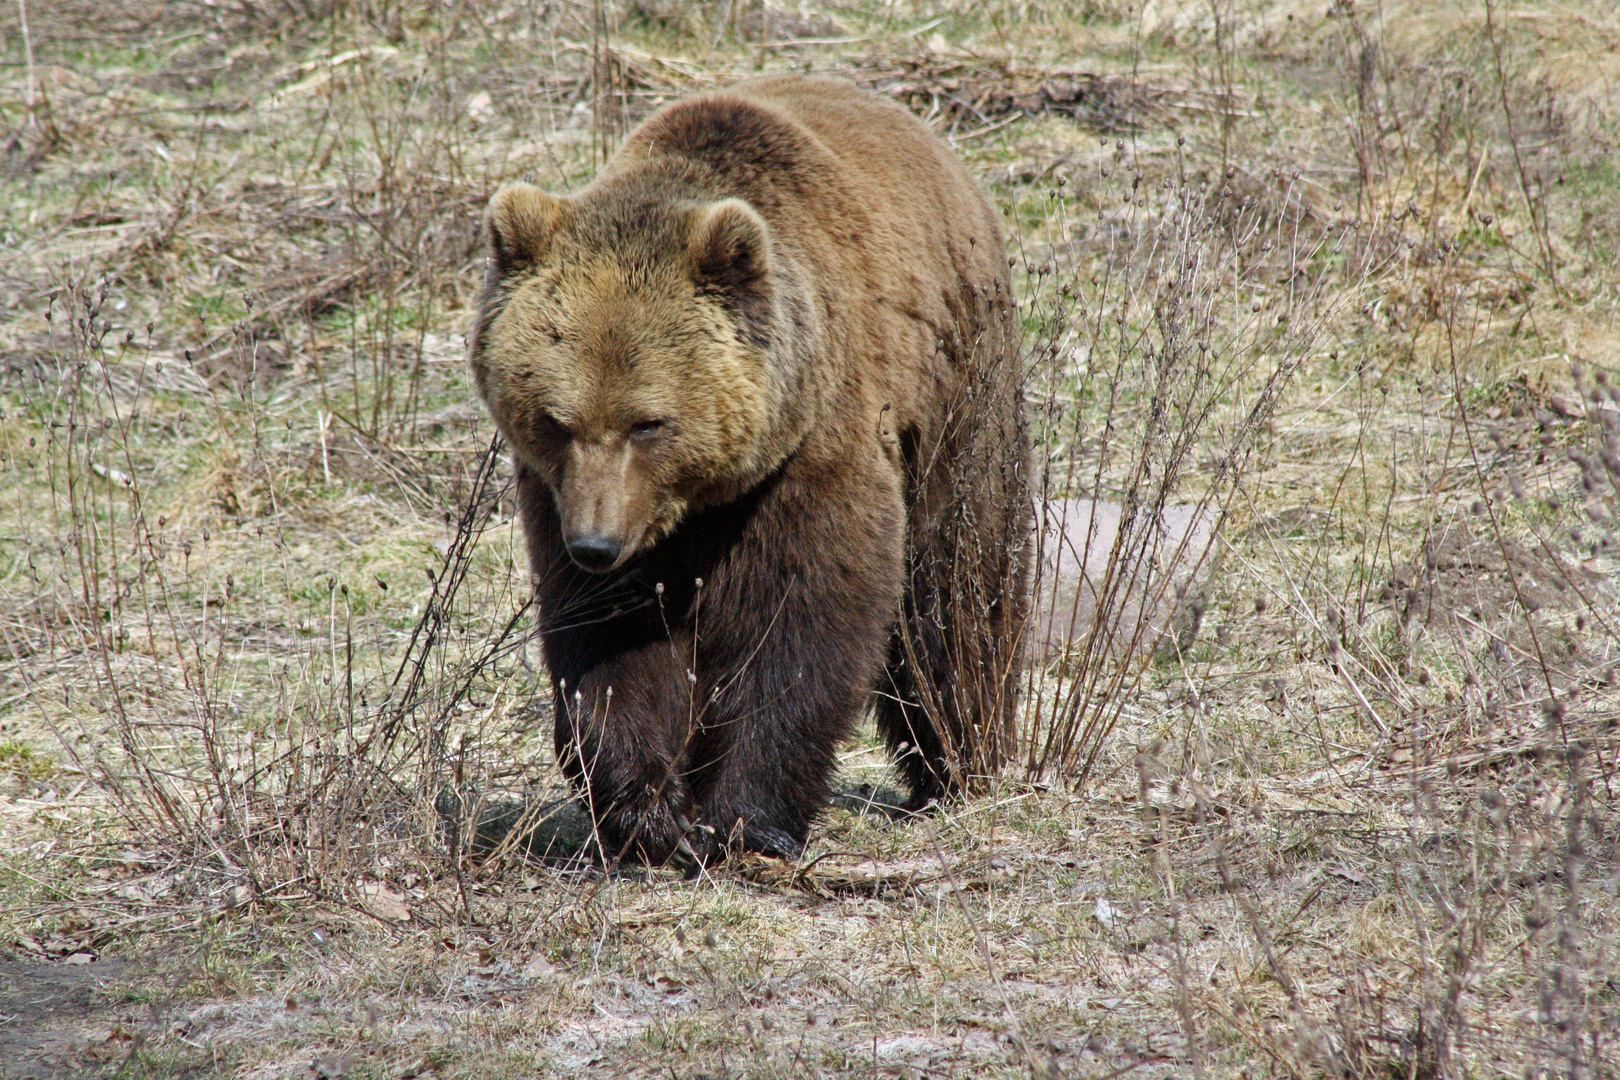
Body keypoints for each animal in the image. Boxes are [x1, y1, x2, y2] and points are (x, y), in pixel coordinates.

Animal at [469, 76, 1030, 867]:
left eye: (649, 421)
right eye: (555, 418)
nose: (597, 544)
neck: (705, 497)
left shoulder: (813, 450)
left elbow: (803, 618)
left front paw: (746, 818)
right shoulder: (560, 498)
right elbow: (606, 638)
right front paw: (649, 813)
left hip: (960, 387)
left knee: (959, 586)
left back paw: (959, 761)